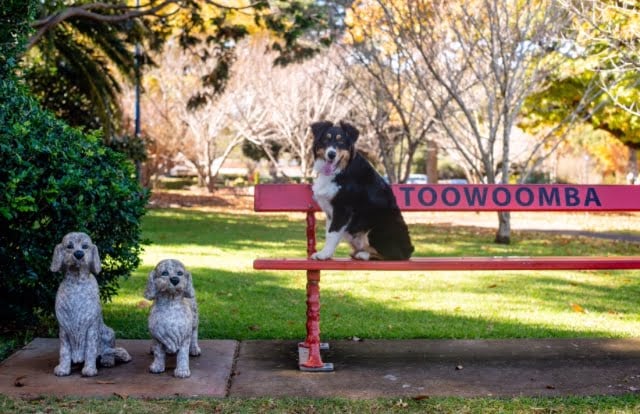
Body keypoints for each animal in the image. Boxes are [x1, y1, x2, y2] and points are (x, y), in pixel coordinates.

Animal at [310, 120, 416, 262]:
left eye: (341, 141)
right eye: (326, 139)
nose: (331, 154)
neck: (342, 170)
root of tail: (409, 250)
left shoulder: (343, 208)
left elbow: (332, 233)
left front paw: (324, 255)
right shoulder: (330, 212)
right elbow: (329, 233)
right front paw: (327, 253)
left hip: (377, 226)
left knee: (394, 255)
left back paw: (363, 254)